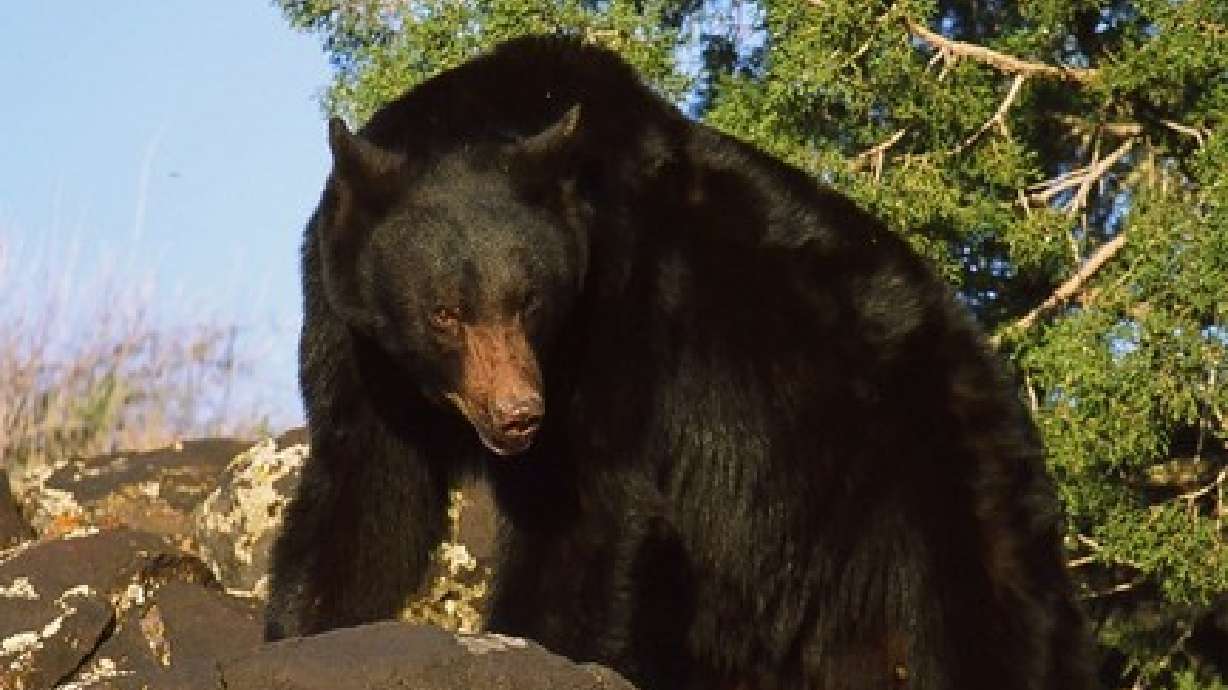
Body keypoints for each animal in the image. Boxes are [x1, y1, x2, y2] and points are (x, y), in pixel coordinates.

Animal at [266, 34, 1095, 690]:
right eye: (445, 311)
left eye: (529, 301)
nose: (519, 414)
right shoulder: (354, 337)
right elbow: (365, 498)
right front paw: (306, 628)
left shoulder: (623, 314)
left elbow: (585, 511)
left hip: (935, 495)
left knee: (995, 636)